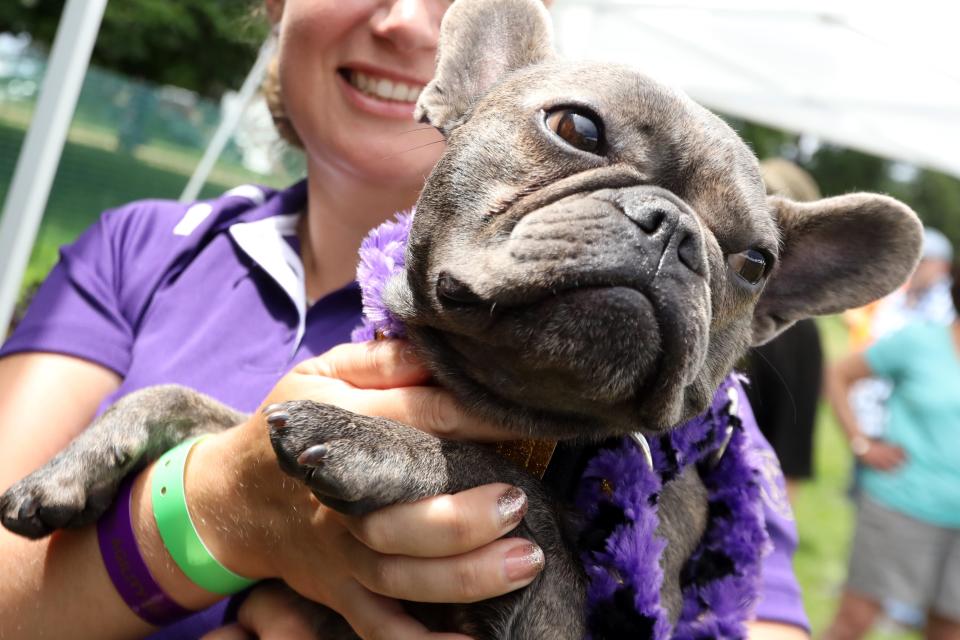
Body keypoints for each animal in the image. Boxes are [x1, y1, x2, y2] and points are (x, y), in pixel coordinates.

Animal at [3, 1, 928, 636]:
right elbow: (176, 397)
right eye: (575, 126)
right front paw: (68, 467)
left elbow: (512, 485)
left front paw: (377, 443)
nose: (674, 230)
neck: (517, 407)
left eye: (756, 264)